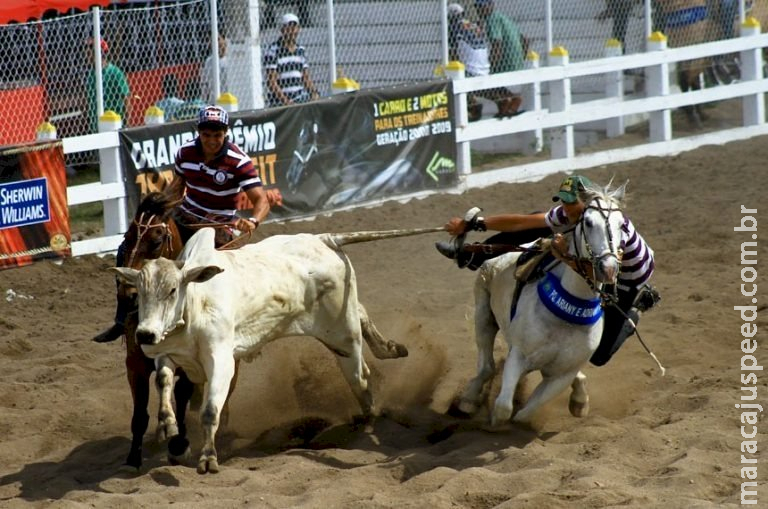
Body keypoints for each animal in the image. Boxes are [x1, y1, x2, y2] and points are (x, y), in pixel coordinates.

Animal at [110, 226, 420, 472]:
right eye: (140, 291)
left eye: (173, 290)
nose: (145, 333)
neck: (197, 303)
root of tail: (324, 238)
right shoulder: (168, 354)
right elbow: (163, 380)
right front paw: (167, 424)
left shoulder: (222, 362)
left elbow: (210, 410)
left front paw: (208, 458)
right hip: (343, 325)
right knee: (362, 315)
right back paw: (391, 348)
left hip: (344, 335)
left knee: (361, 380)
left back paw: (368, 421)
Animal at [118, 192, 238, 470]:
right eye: (126, 238)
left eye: (157, 240)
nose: (128, 296)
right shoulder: (135, 364)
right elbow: (140, 413)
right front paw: (133, 458)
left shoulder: (189, 363)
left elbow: (182, 396)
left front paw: (179, 444)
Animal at [456, 183, 624, 424]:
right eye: (589, 222)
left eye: (622, 225)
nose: (608, 268)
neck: (565, 316)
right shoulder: (518, 355)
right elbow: (504, 408)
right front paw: (492, 424)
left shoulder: (562, 375)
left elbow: (524, 414)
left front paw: (577, 404)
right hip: (483, 314)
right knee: (486, 367)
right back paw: (468, 401)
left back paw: (579, 401)